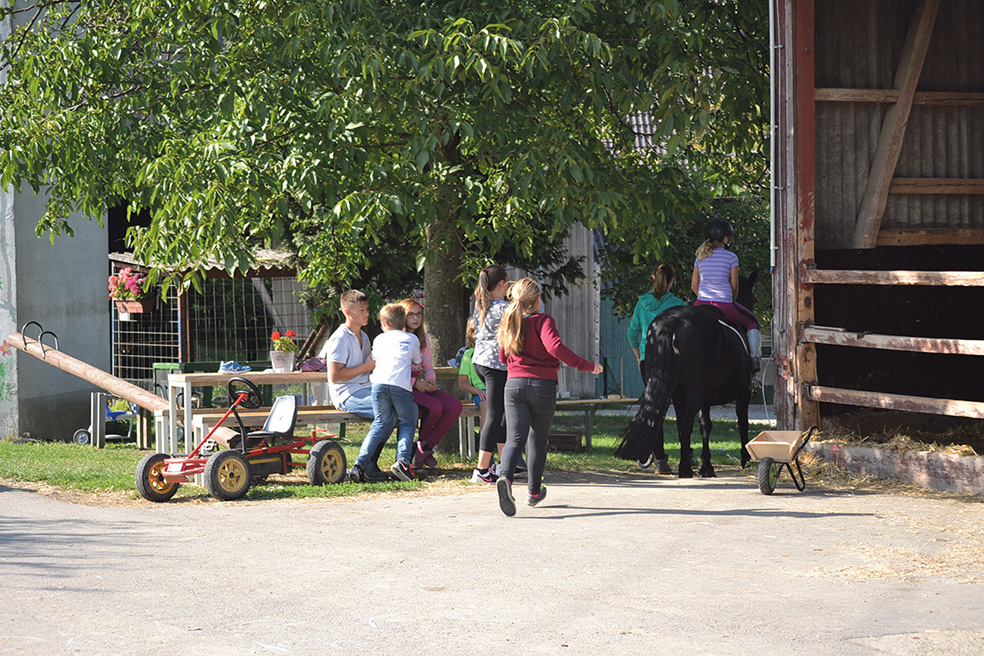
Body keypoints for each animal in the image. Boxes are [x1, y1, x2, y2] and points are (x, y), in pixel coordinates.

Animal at [612, 272, 756, 476]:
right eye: (752, 297)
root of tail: (673, 320)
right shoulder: (744, 393)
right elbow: (742, 423)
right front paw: (745, 459)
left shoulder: (705, 399)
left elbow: (705, 426)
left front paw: (706, 465)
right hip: (693, 391)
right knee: (686, 422)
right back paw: (685, 468)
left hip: (673, 391)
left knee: (674, 423)